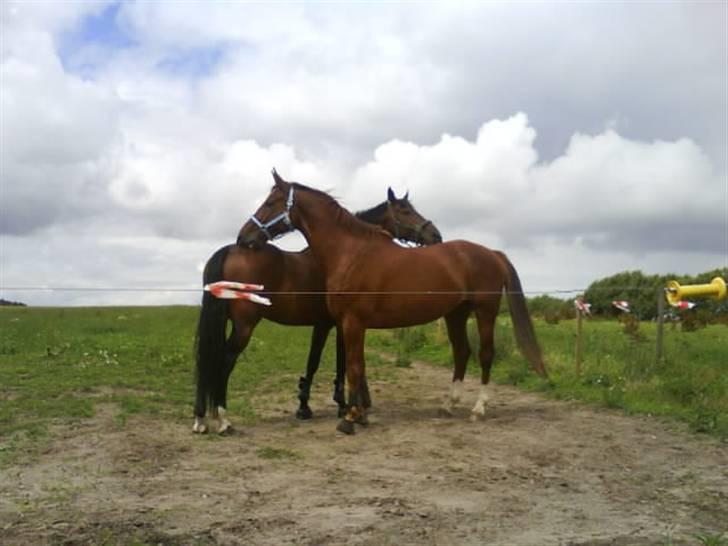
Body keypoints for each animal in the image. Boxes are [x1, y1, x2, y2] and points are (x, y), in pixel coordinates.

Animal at [193, 187, 440, 430]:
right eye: (405, 210)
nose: (435, 235)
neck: (340, 255)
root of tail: (231, 250)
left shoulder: (334, 324)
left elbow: (326, 362)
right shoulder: (333, 324)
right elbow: (332, 363)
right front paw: (337, 406)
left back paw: (201, 418)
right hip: (244, 326)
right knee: (224, 360)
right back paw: (222, 419)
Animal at [237, 170, 544, 434]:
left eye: (270, 202)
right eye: (405, 210)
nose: (243, 236)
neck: (351, 253)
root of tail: (492, 253)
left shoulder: (352, 323)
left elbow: (353, 368)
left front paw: (350, 418)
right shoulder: (346, 324)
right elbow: (355, 368)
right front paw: (359, 413)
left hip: (485, 311)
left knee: (485, 354)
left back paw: (478, 409)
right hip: (456, 313)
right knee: (462, 352)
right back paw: (448, 405)